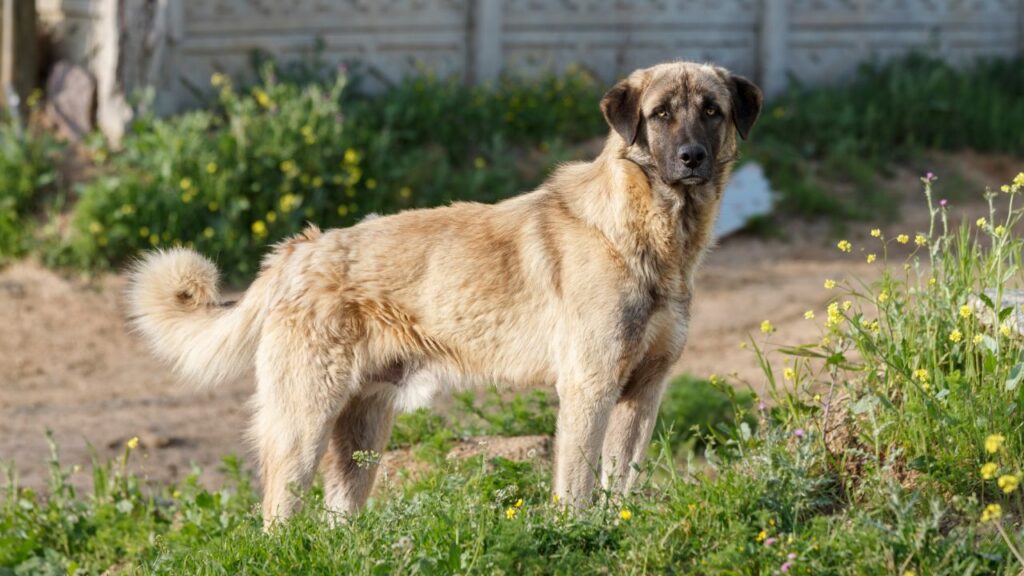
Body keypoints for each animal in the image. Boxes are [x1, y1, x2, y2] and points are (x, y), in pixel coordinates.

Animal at [125, 61, 761, 524]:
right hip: (302, 422)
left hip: (362, 435)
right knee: (277, 515)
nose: (692, 158)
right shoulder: (590, 387)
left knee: (337, 520)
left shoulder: (644, 392)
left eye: (712, 111)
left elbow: (622, 481)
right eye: (660, 114)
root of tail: (297, 250)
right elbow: (578, 485)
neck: (646, 232)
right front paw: (579, 534)